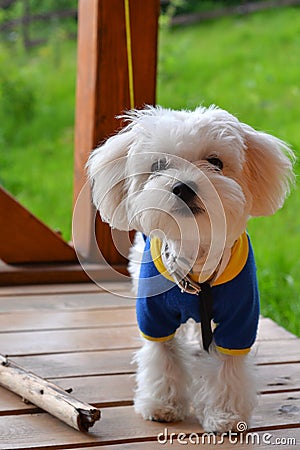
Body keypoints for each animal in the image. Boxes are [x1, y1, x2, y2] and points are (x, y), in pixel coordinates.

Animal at [88, 104, 294, 432]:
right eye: (159, 165)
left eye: (215, 162)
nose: (183, 187)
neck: (196, 257)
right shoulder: (154, 315)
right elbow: (164, 356)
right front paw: (162, 404)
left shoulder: (241, 317)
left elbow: (227, 367)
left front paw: (225, 415)